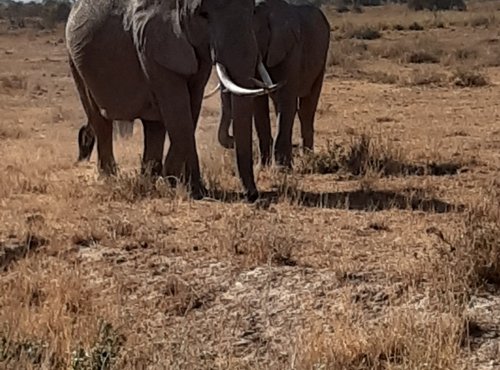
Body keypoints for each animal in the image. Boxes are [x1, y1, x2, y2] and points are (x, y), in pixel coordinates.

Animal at [66, 0, 278, 202]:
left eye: (252, 12)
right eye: (203, 14)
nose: (252, 195)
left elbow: (192, 106)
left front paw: (178, 182)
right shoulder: (153, 43)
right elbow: (178, 109)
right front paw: (194, 190)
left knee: (153, 125)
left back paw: (149, 178)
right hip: (75, 61)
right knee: (99, 119)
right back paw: (110, 178)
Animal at [207, 0, 332, 166]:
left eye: (249, 37)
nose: (232, 140)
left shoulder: (291, 49)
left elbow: (287, 99)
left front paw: (281, 168)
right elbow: (259, 104)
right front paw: (263, 166)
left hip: (322, 58)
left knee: (306, 108)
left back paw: (308, 158)